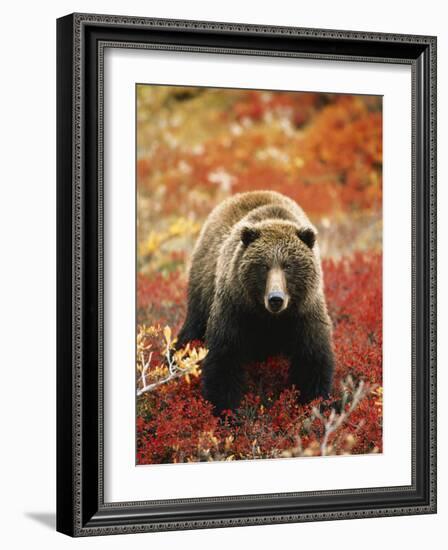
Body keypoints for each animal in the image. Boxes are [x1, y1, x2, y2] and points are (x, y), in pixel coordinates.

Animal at [177, 191, 334, 414]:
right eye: (264, 266)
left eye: (288, 266)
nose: (276, 298)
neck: (269, 318)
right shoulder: (236, 309)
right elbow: (224, 359)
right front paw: (225, 410)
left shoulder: (304, 314)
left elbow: (312, 361)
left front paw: (313, 405)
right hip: (202, 289)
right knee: (191, 330)